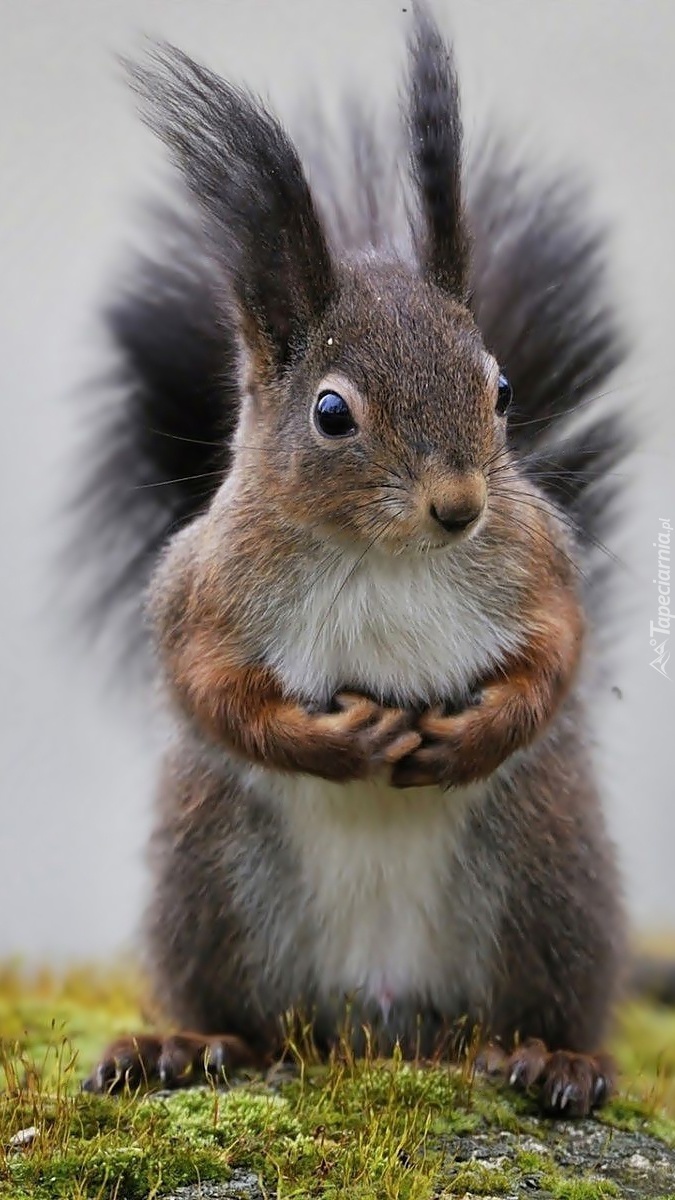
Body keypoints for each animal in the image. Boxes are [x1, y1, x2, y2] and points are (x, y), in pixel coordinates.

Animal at [78, 4, 624, 1118]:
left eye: (501, 389)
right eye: (332, 413)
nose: (459, 507)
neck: (385, 555)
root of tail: (380, 1022)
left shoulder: (536, 562)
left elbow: (557, 653)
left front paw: (474, 733)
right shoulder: (207, 590)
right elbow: (207, 688)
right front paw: (333, 742)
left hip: (544, 877)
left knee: (538, 1001)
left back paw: (553, 1058)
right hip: (214, 881)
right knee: (244, 1018)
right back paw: (185, 1045)